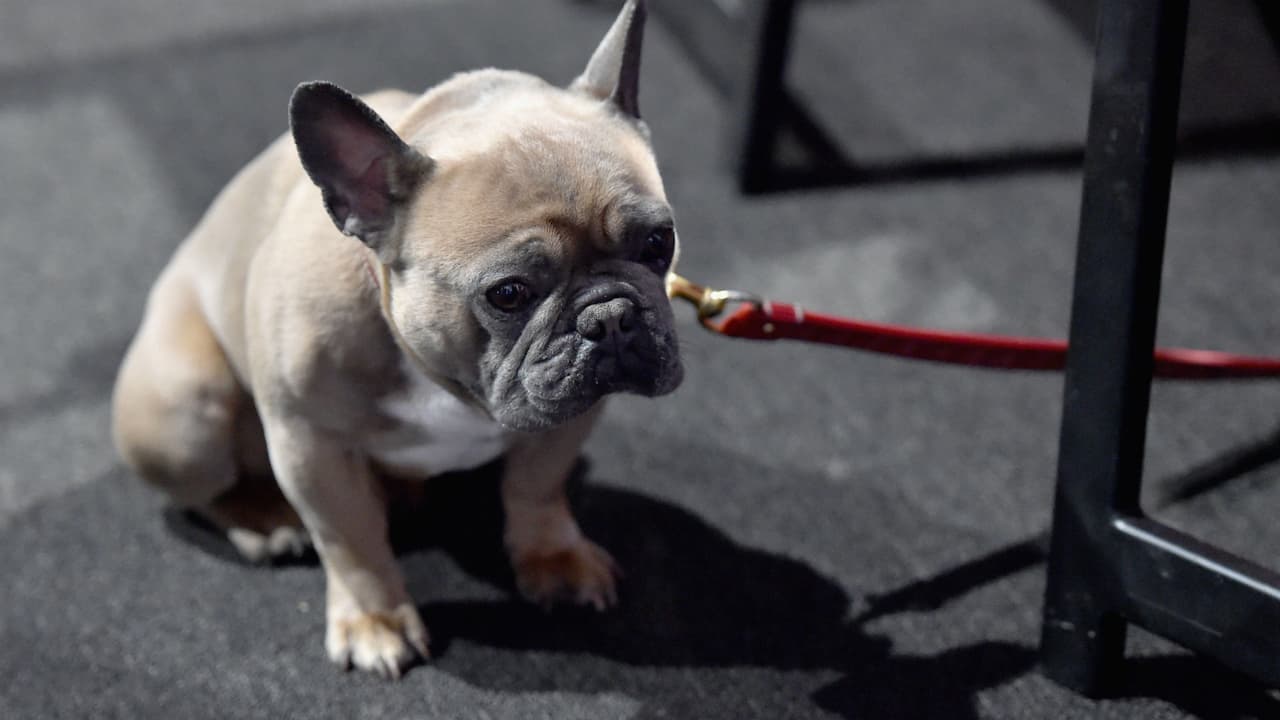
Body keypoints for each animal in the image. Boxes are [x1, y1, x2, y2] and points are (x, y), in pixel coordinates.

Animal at [111, 0, 681, 679]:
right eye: (508, 293)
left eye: (660, 243)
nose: (611, 316)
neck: (444, 377)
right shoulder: (312, 446)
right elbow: (351, 542)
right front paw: (375, 620)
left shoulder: (567, 415)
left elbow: (536, 489)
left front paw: (553, 558)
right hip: (183, 415)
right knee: (207, 488)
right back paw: (265, 518)